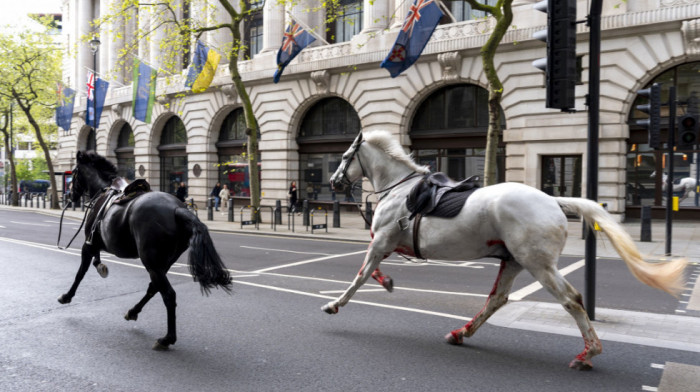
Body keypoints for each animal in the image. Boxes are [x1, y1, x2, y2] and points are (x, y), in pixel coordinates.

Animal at [58, 152, 231, 350]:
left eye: (74, 173)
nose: (69, 195)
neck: (103, 190)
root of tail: (177, 209)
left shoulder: (88, 244)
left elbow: (80, 273)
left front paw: (67, 296)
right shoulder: (96, 244)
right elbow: (95, 261)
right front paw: (101, 267)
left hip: (151, 262)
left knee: (168, 295)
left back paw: (167, 338)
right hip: (162, 263)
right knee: (153, 288)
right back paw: (133, 312)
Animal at [326, 131, 688, 370]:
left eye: (344, 157)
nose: (333, 182)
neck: (400, 190)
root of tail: (554, 200)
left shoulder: (381, 241)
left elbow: (360, 275)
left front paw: (334, 304)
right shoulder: (387, 243)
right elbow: (371, 271)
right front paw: (386, 282)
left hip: (538, 264)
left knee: (570, 300)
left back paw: (588, 353)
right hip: (514, 261)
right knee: (498, 299)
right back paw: (461, 332)